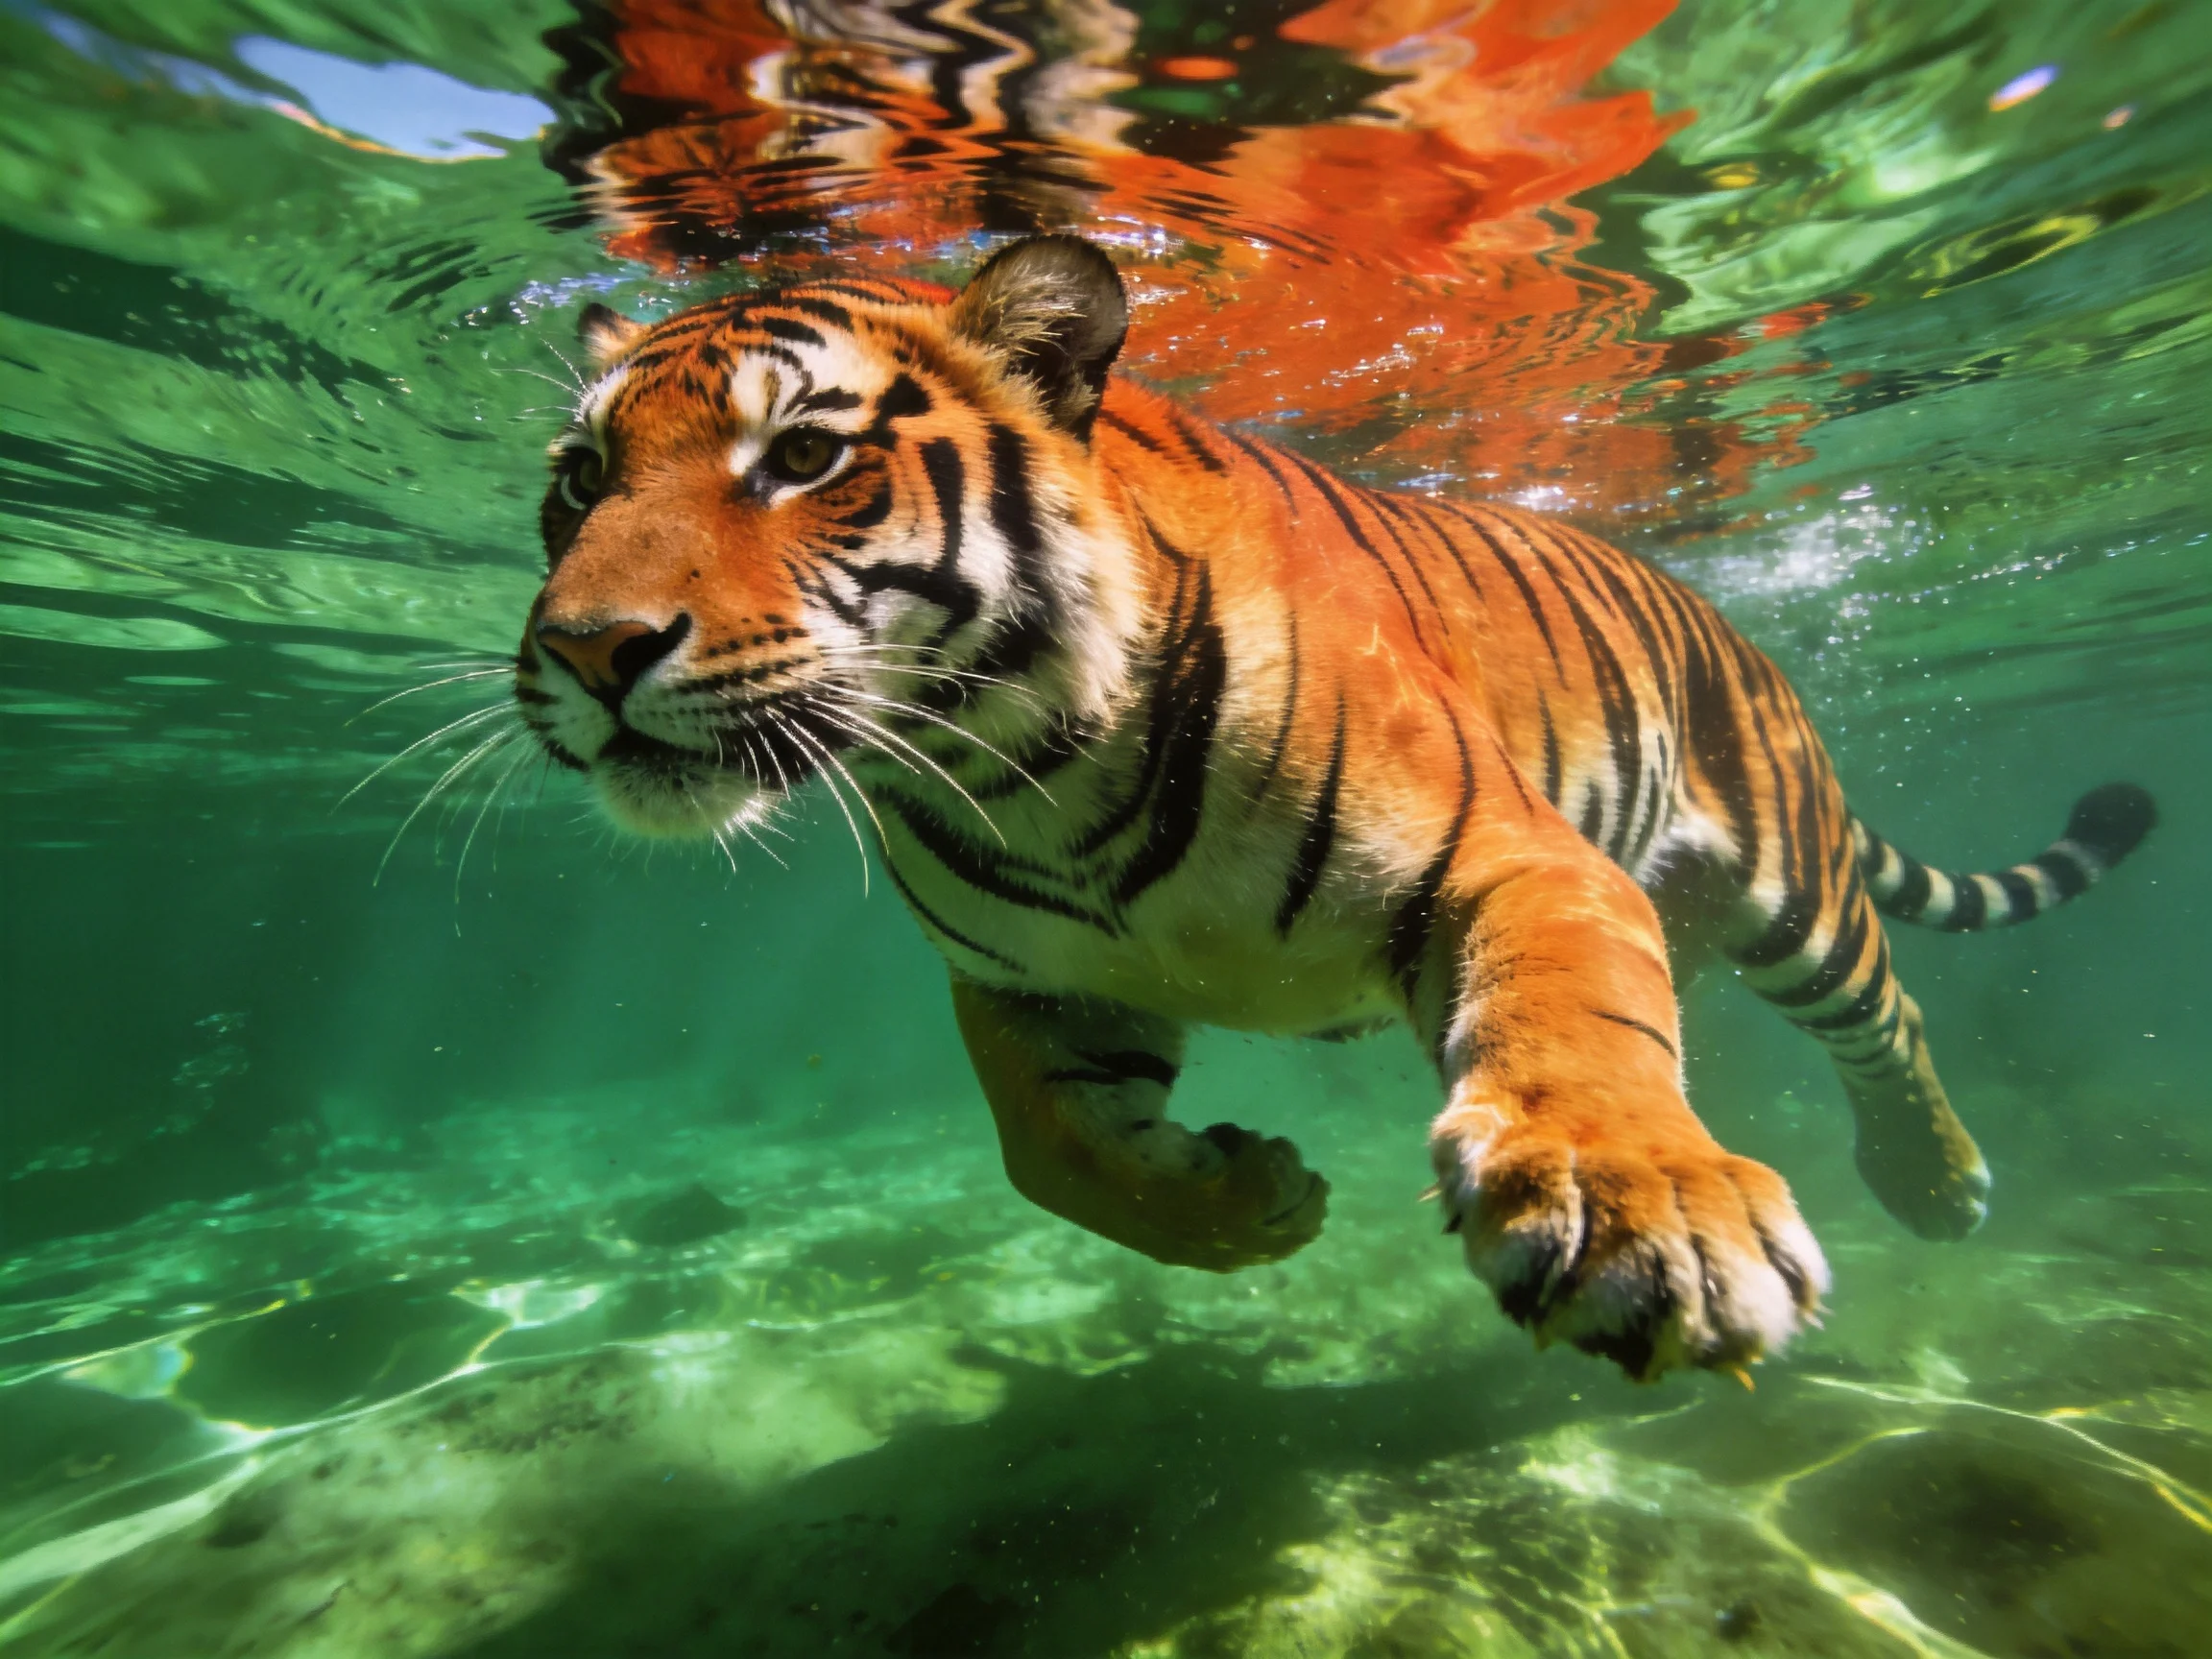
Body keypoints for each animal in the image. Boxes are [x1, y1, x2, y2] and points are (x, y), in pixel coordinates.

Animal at [514, 235, 2154, 1381]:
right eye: (581, 477)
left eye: (803, 454)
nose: (588, 650)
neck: (1016, 766)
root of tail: (1727, 618)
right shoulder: (1027, 985)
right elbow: (1051, 1157)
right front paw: (1253, 1204)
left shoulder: (1519, 861)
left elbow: (1578, 1029)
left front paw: (1649, 1218)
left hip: (1791, 883)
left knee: (1889, 1014)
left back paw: (1936, 1184)